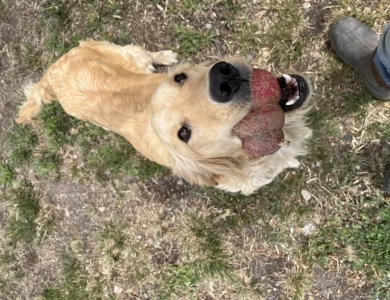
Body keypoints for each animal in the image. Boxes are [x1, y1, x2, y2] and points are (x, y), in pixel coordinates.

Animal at [16, 40, 312, 195]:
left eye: (180, 78)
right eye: (184, 133)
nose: (222, 79)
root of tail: (51, 72)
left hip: (123, 53)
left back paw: (164, 56)